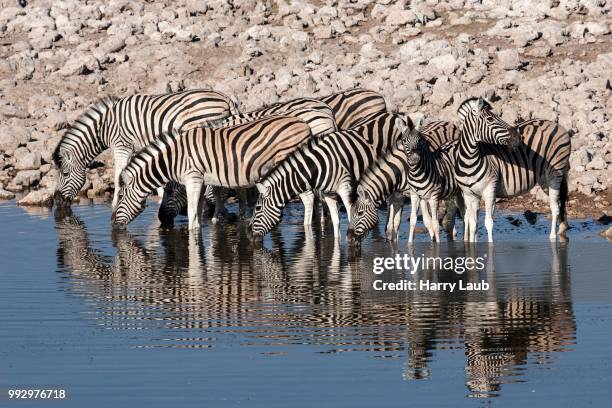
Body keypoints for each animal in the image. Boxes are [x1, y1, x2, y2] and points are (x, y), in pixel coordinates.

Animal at [52, 89, 237, 210]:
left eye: (65, 174)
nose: (58, 202)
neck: (103, 127)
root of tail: (226, 98)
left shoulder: (121, 145)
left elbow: (118, 175)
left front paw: (114, 203)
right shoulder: (137, 147)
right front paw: (160, 196)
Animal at [111, 115, 310, 230]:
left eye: (120, 197)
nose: (112, 224)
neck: (175, 158)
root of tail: (304, 124)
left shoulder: (193, 178)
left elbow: (192, 214)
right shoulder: (201, 180)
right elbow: (198, 211)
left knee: (309, 199)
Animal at [249, 111, 412, 239]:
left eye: (257, 209)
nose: (250, 236)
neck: (318, 166)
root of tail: (396, 114)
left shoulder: (345, 188)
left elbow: (350, 213)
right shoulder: (329, 194)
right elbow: (335, 221)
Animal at [452, 97, 572, 241]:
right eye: (490, 119)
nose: (518, 137)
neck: (469, 161)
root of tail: (556, 124)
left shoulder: (490, 190)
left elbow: (488, 223)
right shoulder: (469, 195)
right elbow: (473, 223)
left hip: (555, 172)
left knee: (555, 207)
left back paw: (553, 237)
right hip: (545, 179)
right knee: (559, 203)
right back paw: (562, 229)